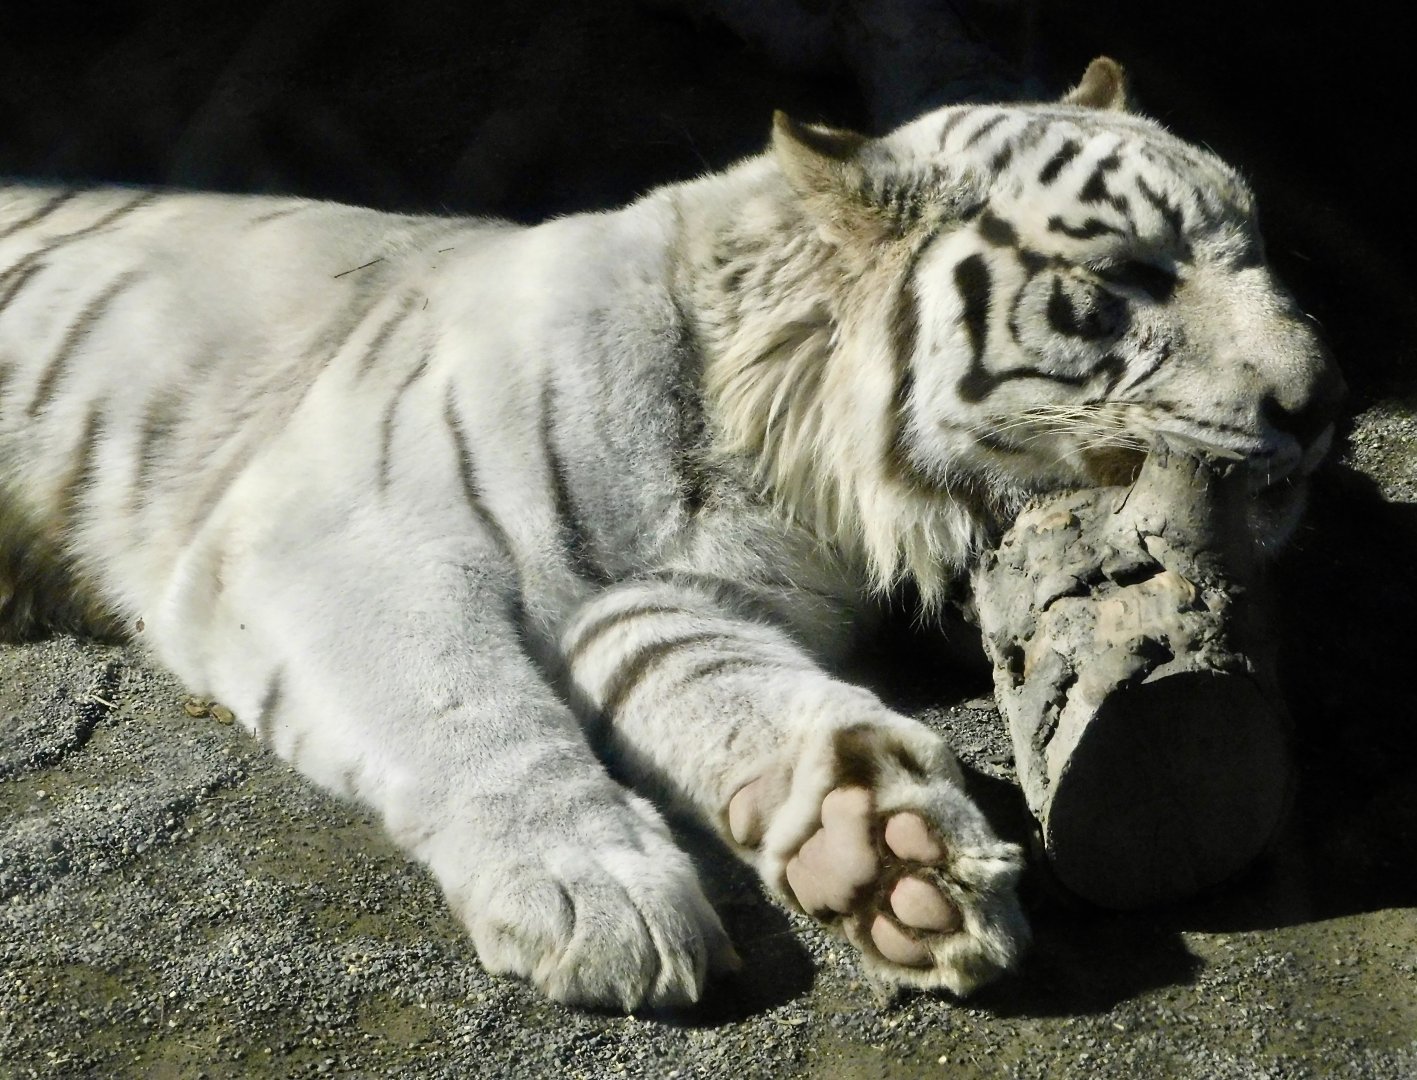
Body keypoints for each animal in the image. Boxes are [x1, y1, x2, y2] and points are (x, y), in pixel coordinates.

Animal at [0, 58, 1340, 1010]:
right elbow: (468, 710)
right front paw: (593, 897)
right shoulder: (335, 532)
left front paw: (881, 849)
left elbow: (729, 688)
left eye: (1256, 249)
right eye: (1127, 278)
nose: (1320, 397)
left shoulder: (682, 594)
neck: (775, 445)